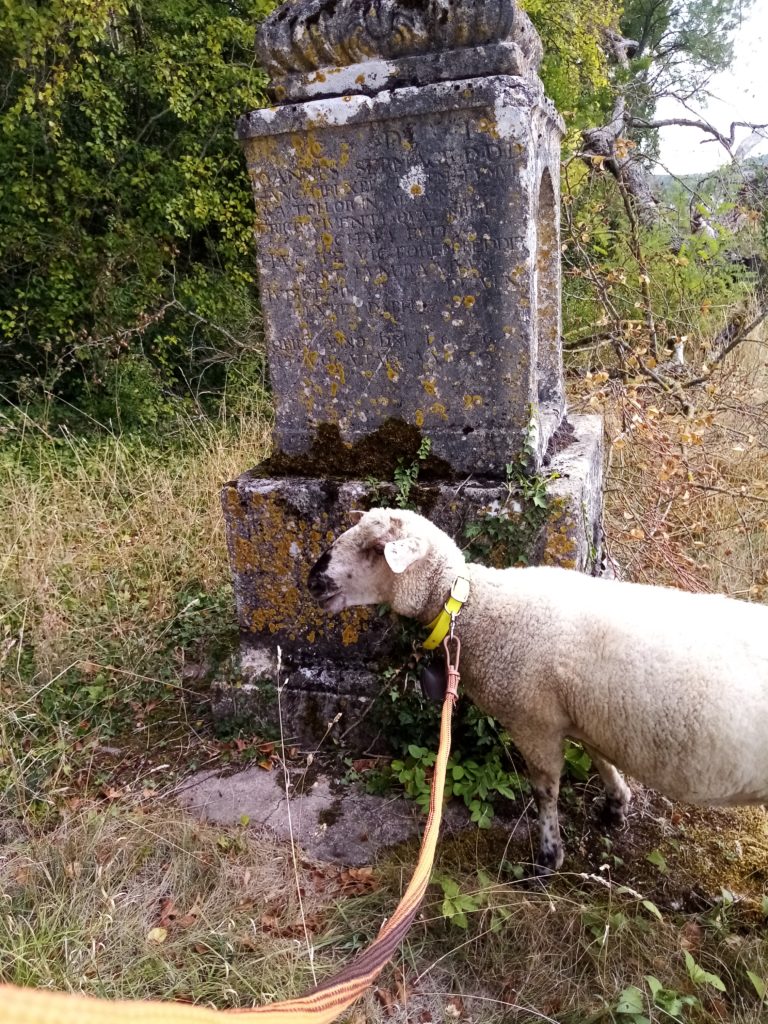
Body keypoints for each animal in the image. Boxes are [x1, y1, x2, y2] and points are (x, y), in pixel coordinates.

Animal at [309, 505, 768, 872]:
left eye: (375, 548)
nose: (314, 580)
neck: (474, 606)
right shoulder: (582, 710)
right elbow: (598, 754)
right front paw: (616, 804)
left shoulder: (533, 720)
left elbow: (545, 788)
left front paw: (549, 856)